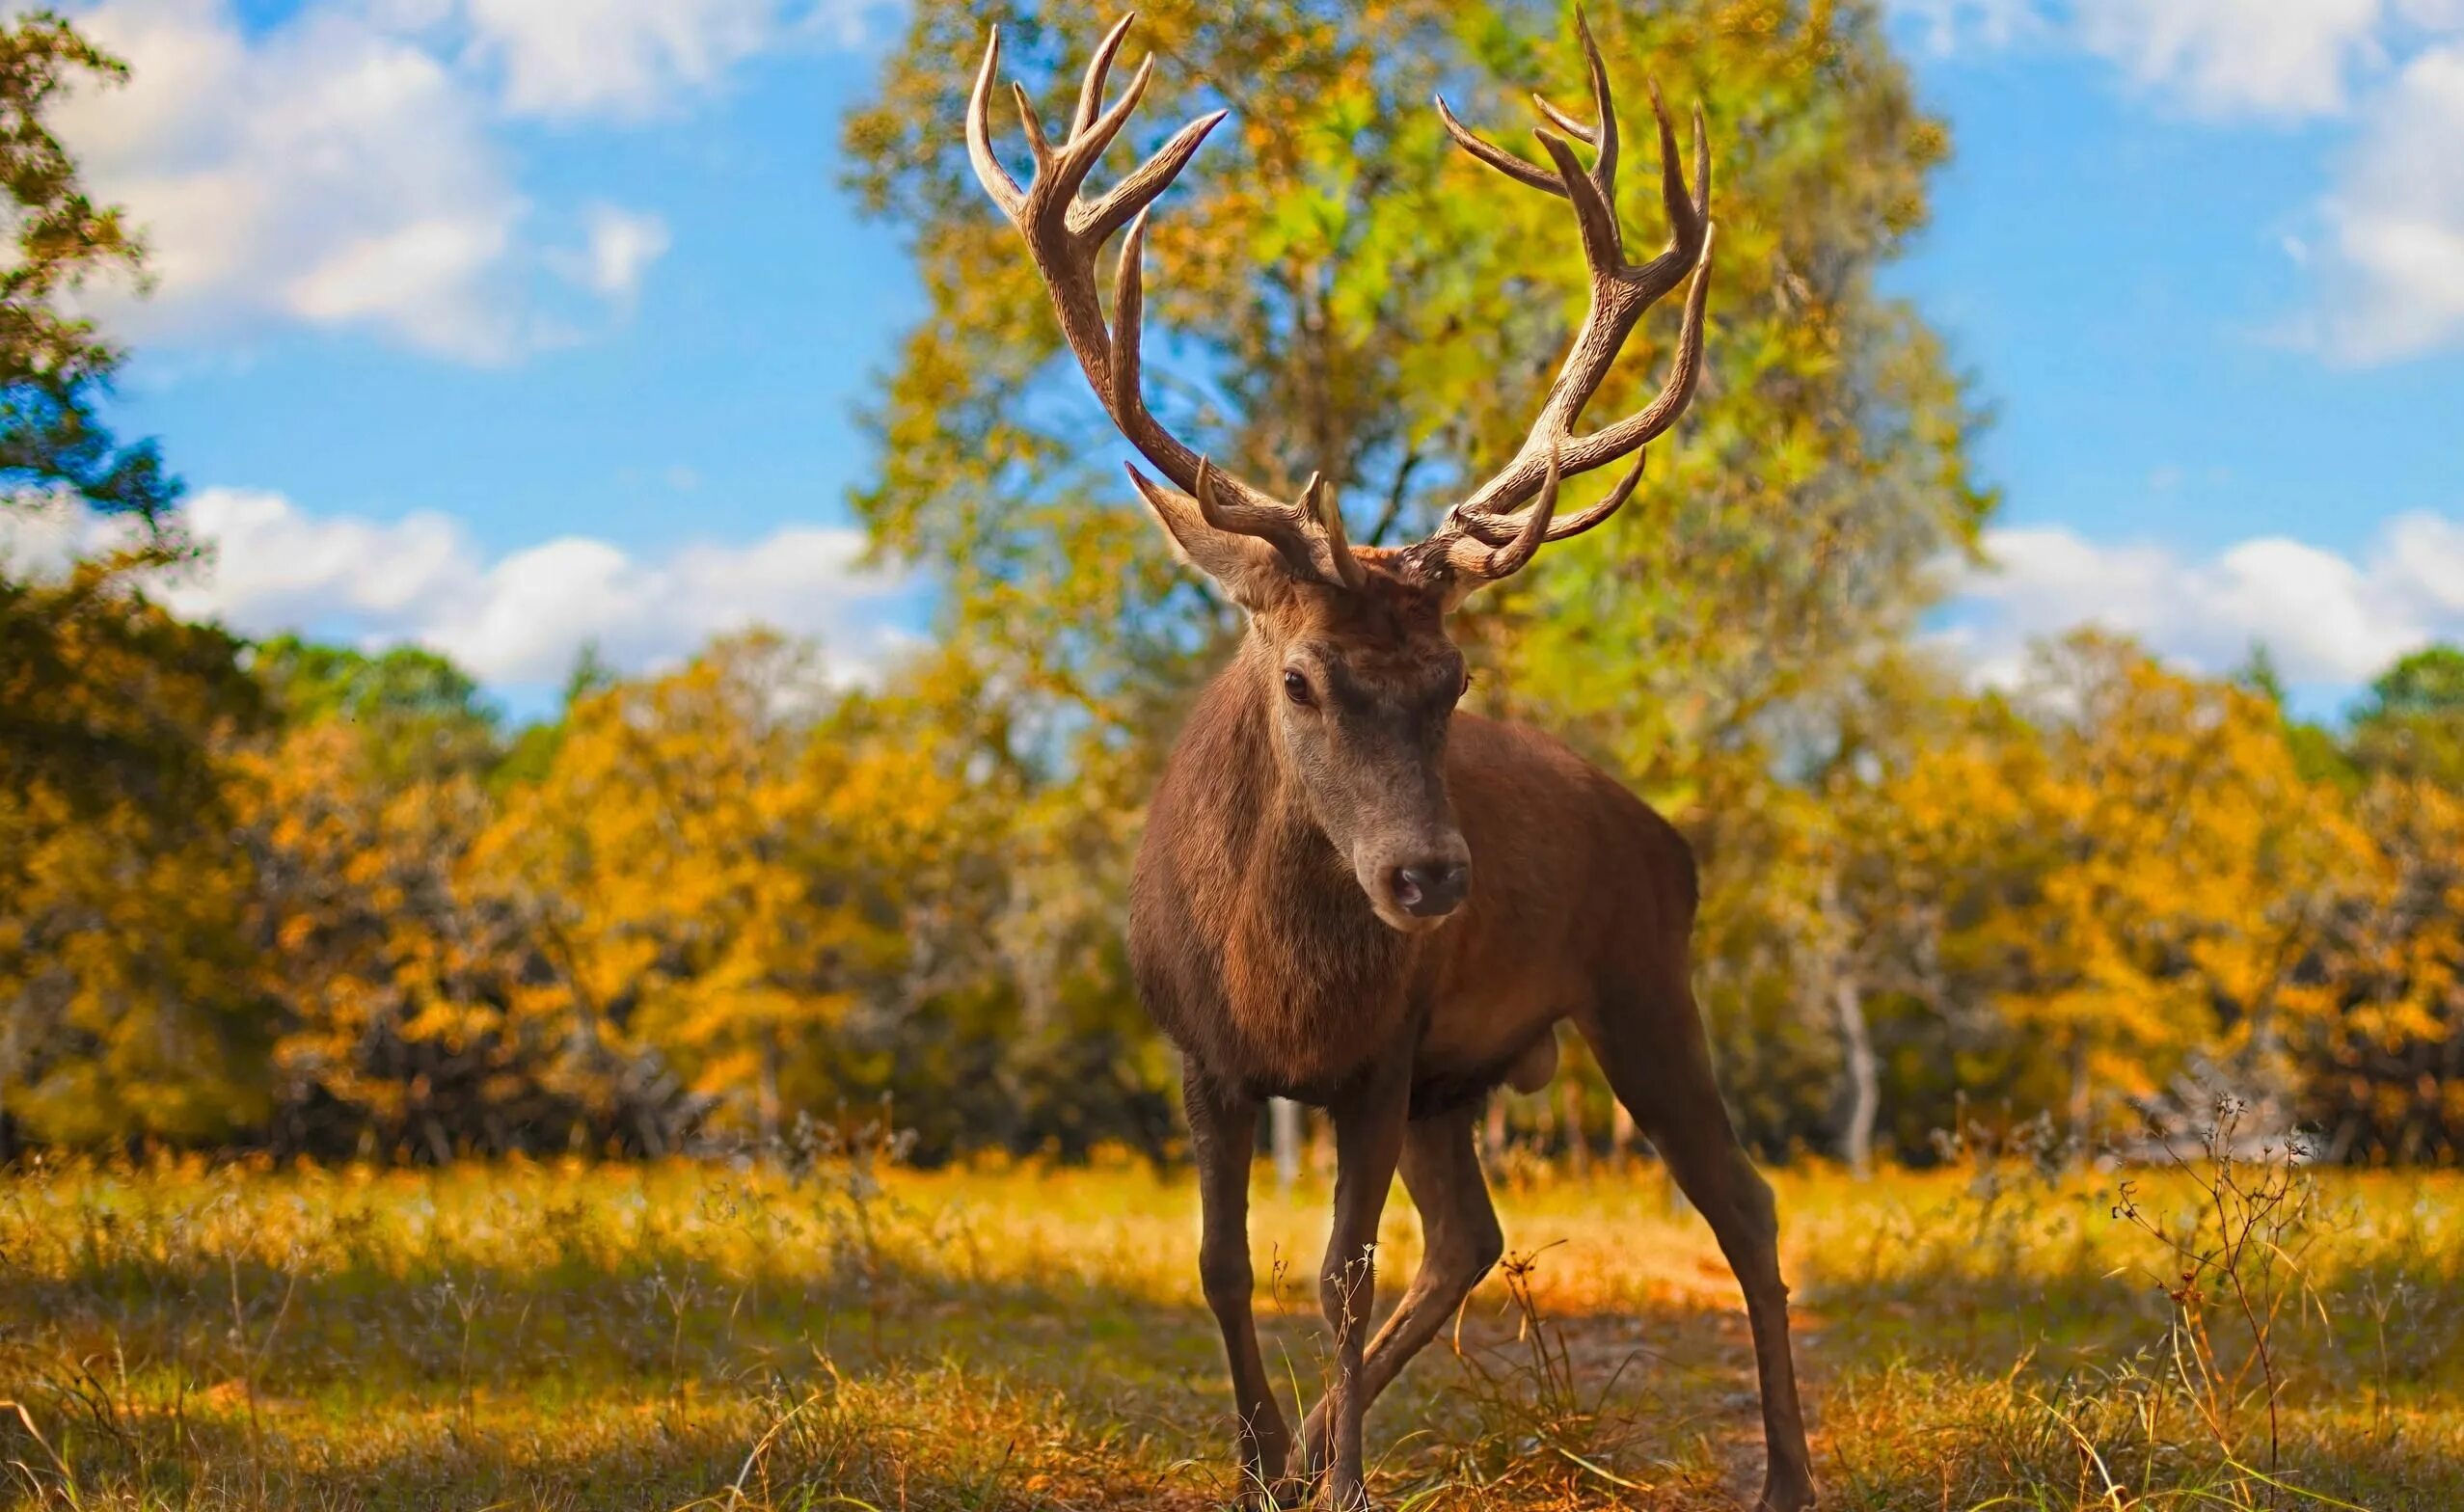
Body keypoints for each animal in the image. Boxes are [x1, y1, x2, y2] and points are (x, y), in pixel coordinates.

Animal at [970, 12, 1823, 1512]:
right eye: (1301, 676)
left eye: (1451, 682)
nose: (1428, 879)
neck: (1278, 991)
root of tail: (1669, 840)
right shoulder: (1202, 1056)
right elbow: (1221, 1265)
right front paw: (1264, 1464)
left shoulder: (1379, 1055)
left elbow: (1339, 1276)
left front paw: (1345, 1482)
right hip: (1461, 1077)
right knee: (1472, 1235)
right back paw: (1318, 1436)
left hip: (1639, 986)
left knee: (1743, 1204)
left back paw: (1781, 1473)